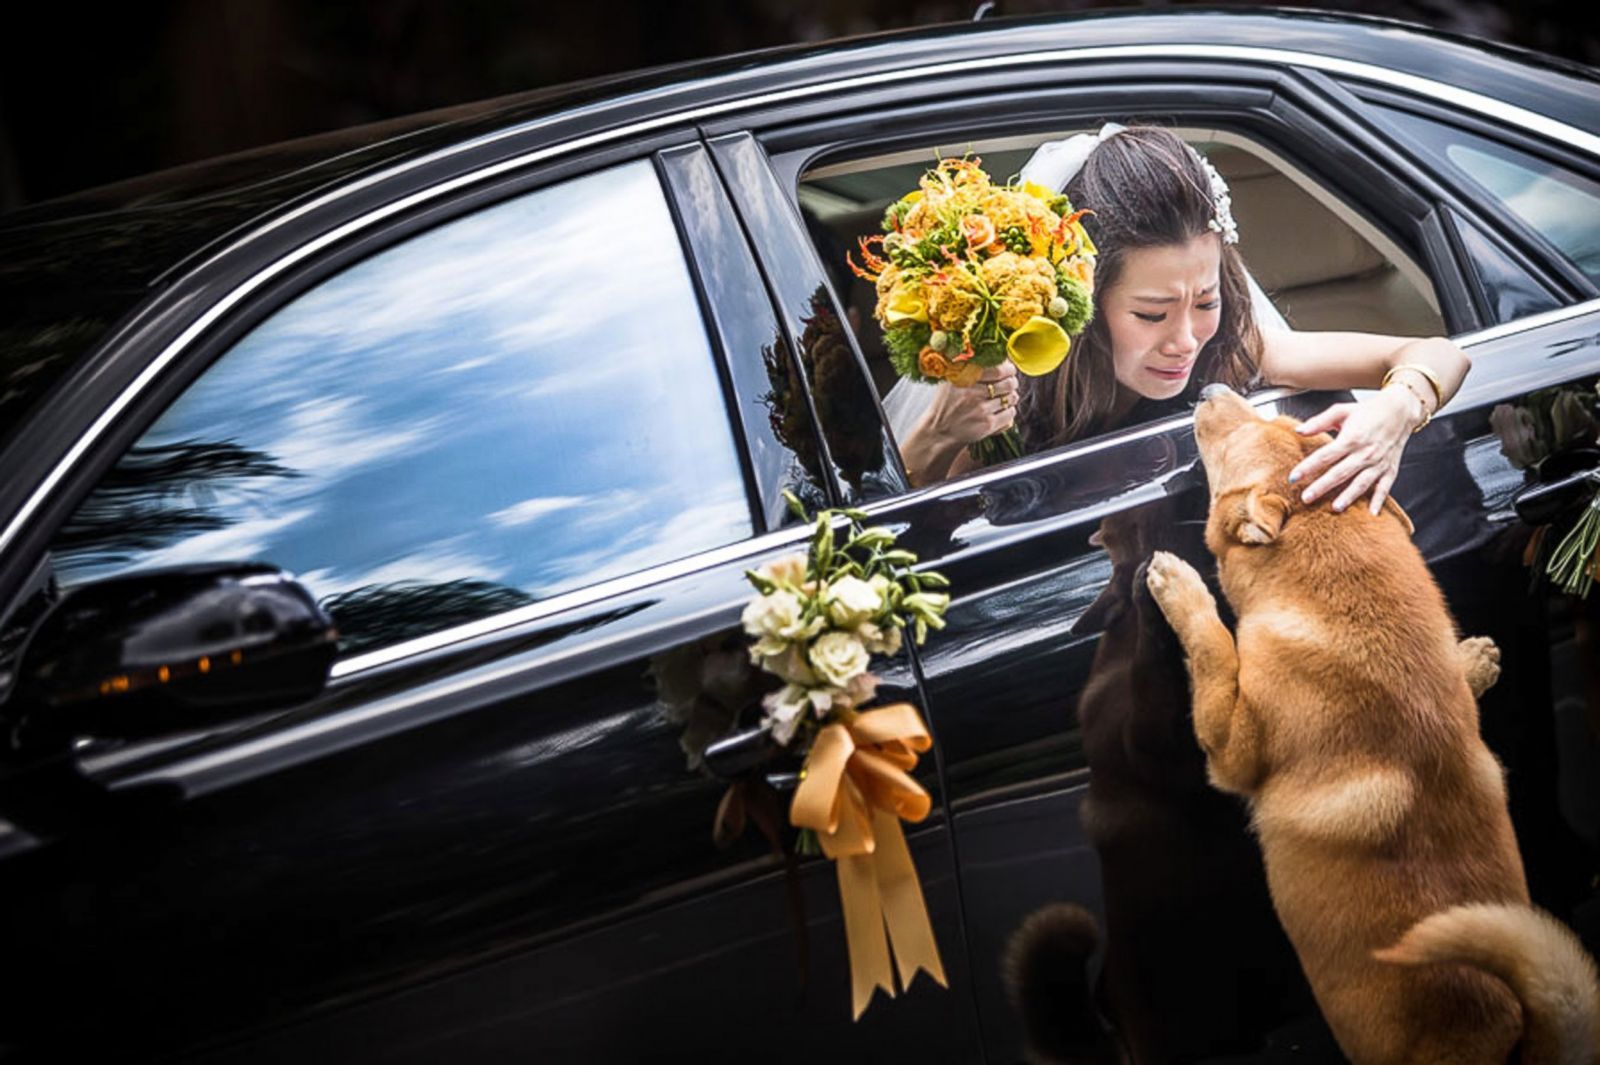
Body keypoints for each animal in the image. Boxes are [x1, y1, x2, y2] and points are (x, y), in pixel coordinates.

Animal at [1145, 383, 1593, 1061]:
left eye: (1233, 438)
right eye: (1284, 426)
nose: (1212, 389)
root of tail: (1507, 1030)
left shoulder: (1231, 748)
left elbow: (1213, 642)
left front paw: (1179, 585)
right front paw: (1474, 661)